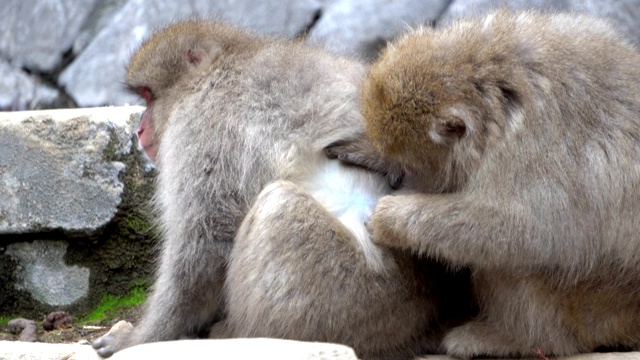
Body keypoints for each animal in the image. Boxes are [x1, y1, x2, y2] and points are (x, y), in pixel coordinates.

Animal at [90, 20, 472, 360]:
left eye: (148, 96)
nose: (140, 129)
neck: (221, 64)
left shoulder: (201, 123)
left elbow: (204, 241)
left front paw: (141, 338)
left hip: (361, 301)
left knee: (279, 205)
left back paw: (239, 333)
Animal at [328, 9, 640, 358]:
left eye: (411, 166)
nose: (403, 176)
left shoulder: (534, 147)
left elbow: (528, 231)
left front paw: (390, 219)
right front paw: (373, 155)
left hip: (591, 304)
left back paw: (516, 339)